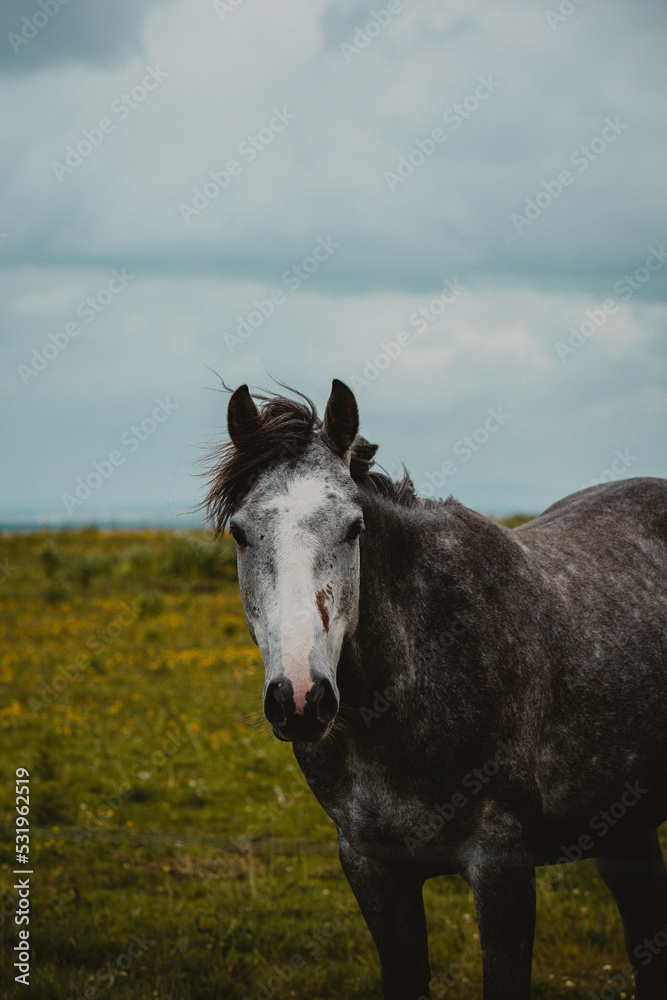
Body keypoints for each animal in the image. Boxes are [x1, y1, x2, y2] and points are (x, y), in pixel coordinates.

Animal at [203, 378, 667, 999]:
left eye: (354, 528)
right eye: (240, 532)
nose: (299, 698)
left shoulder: (501, 867)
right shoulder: (373, 868)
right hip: (625, 828)